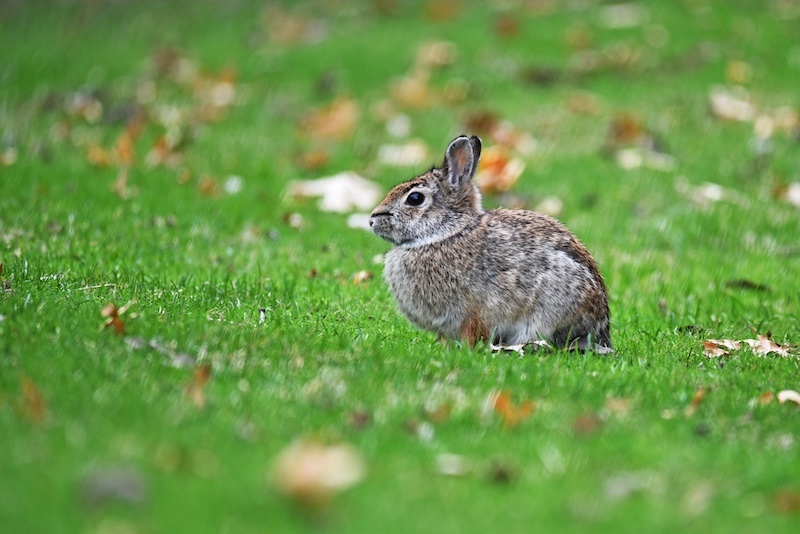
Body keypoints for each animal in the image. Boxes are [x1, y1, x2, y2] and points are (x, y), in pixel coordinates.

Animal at [369, 135, 612, 352]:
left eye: (415, 198)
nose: (372, 220)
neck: (448, 233)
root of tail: (601, 332)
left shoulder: (476, 311)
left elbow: (474, 332)